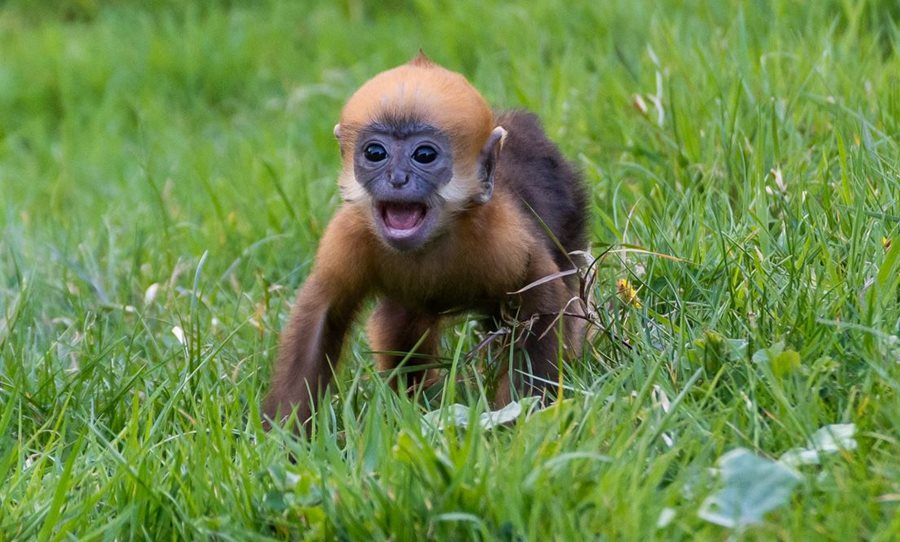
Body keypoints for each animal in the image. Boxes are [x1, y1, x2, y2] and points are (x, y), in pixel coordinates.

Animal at [264, 54, 588, 430]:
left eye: (424, 155)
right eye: (375, 153)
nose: (397, 178)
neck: (429, 241)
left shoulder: (505, 236)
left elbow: (541, 300)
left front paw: (520, 416)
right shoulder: (347, 236)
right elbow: (322, 313)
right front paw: (284, 433)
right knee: (402, 320)